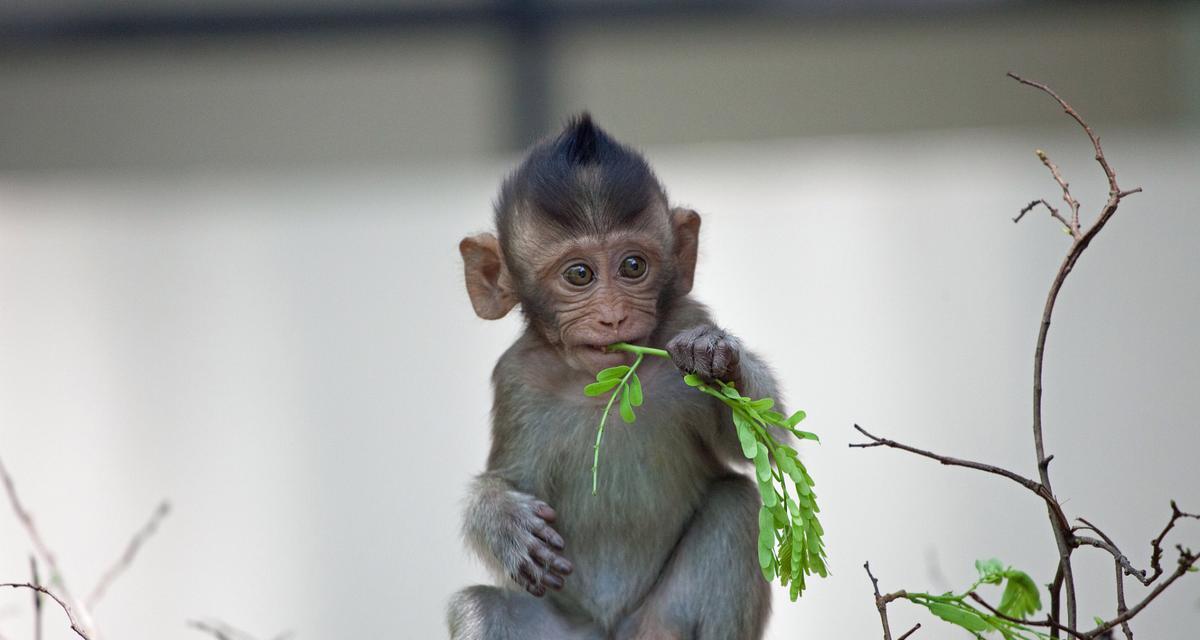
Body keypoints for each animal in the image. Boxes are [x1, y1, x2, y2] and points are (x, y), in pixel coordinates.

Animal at [453, 115, 782, 638]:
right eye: (579, 274)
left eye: (633, 266)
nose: (613, 317)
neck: (598, 384)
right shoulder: (518, 381)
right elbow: (506, 479)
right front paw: (503, 522)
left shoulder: (685, 315)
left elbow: (764, 444)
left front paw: (712, 352)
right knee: (479, 606)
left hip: (659, 622)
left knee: (737, 507)